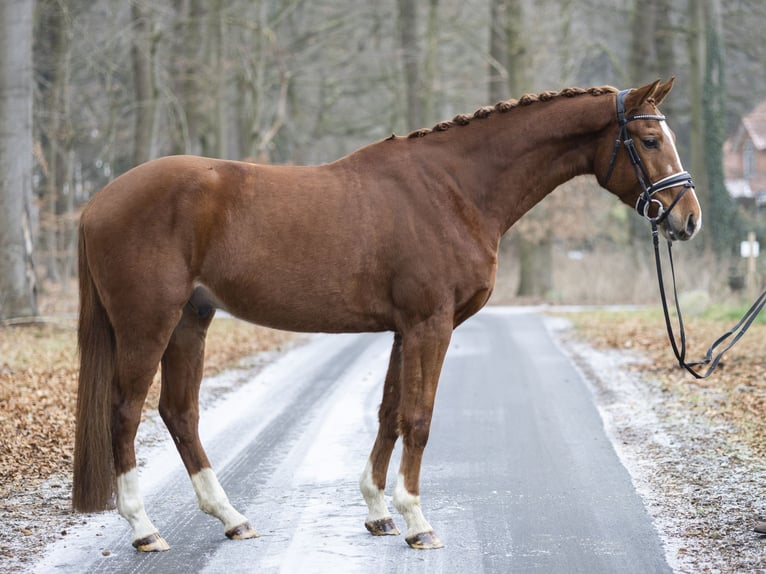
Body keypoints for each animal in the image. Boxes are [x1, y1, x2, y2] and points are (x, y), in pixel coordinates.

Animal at [72, 78, 701, 552]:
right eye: (649, 139)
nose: (688, 218)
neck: (453, 190)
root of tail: (98, 201)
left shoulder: (404, 329)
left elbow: (389, 413)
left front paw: (378, 512)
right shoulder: (430, 325)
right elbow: (418, 418)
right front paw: (417, 523)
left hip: (191, 320)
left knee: (180, 413)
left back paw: (232, 518)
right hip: (148, 324)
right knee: (125, 412)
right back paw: (145, 530)